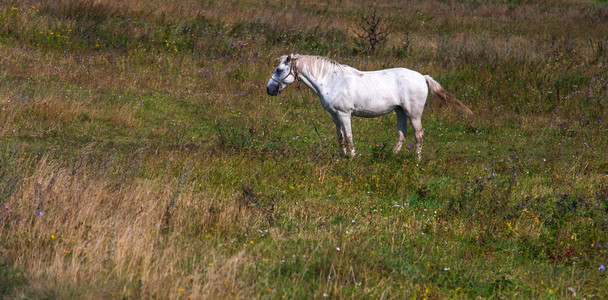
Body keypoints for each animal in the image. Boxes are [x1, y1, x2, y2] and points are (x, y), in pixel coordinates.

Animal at [268, 54, 476, 161]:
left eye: (279, 69)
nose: (269, 89)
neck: (331, 80)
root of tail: (422, 77)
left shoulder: (344, 114)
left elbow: (349, 136)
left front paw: (352, 157)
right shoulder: (335, 116)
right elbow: (340, 137)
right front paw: (342, 156)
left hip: (413, 113)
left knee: (418, 135)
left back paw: (416, 161)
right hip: (400, 112)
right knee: (402, 134)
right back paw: (390, 156)